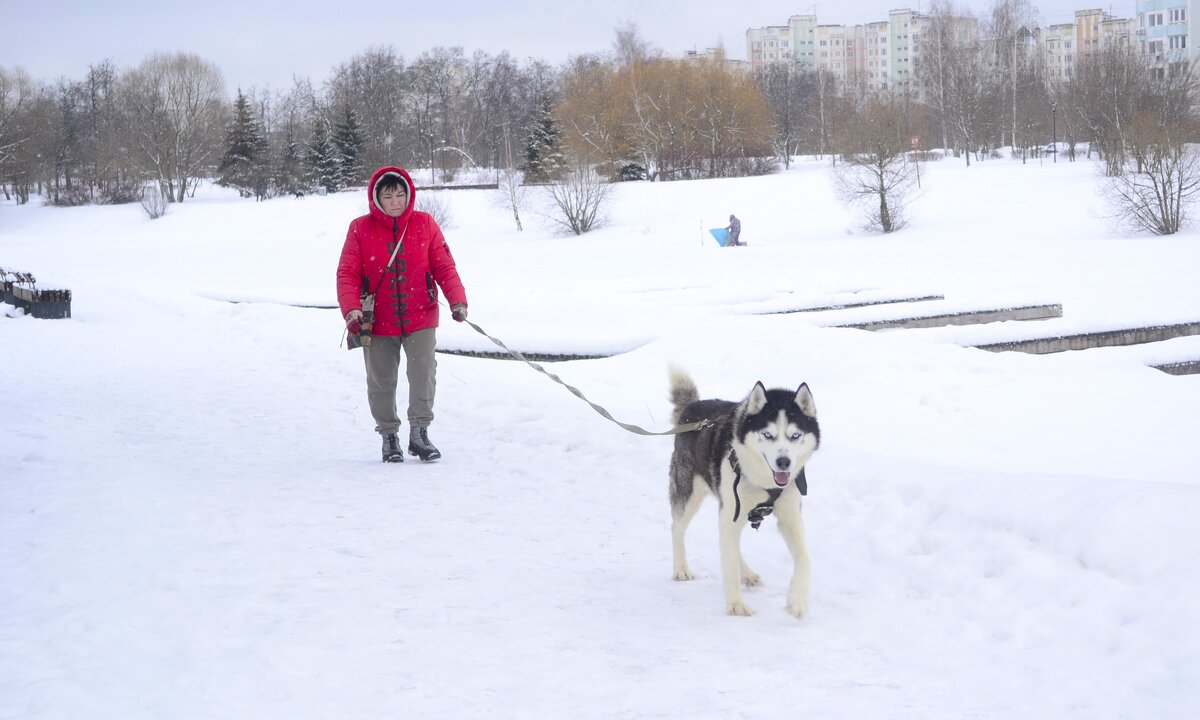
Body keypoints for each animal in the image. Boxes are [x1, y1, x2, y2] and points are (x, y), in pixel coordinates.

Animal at [667, 369, 825, 614]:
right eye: (768, 435)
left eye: (795, 435)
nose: (783, 462)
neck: (765, 481)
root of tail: (692, 406)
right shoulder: (732, 511)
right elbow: (729, 564)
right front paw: (736, 605)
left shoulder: (789, 515)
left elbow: (805, 559)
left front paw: (797, 600)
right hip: (691, 495)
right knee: (677, 528)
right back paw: (681, 568)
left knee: (731, 543)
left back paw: (748, 574)